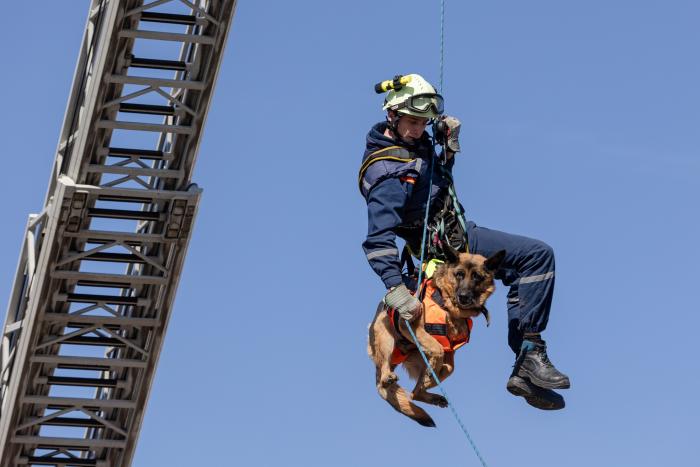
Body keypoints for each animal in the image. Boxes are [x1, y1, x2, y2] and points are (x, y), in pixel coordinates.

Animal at [366, 249, 504, 428]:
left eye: (477, 277)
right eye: (459, 274)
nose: (463, 296)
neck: (448, 307)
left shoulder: (450, 351)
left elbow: (442, 356)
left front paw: (431, 371)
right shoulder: (408, 325)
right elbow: (437, 348)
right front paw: (433, 363)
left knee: (416, 393)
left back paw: (431, 393)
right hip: (385, 339)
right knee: (387, 377)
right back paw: (387, 377)